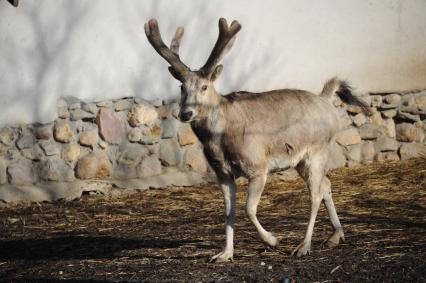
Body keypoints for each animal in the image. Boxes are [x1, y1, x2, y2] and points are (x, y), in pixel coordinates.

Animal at [144, 18, 370, 264]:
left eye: (204, 86)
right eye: (182, 87)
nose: (186, 113)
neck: (220, 140)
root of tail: (327, 101)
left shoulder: (258, 166)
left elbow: (248, 209)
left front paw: (272, 240)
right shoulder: (221, 172)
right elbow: (229, 211)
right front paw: (224, 254)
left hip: (318, 150)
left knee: (316, 194)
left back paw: (304, 246)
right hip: (300, 160)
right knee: (326, 184)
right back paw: (335, 236)